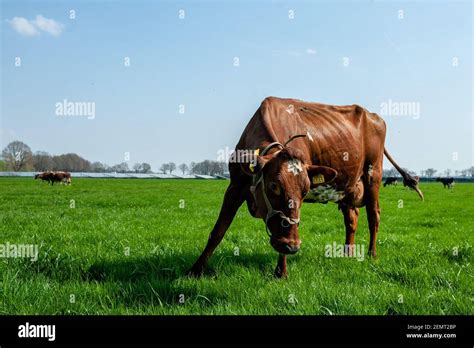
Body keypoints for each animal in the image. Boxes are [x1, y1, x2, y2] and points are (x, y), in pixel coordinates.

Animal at [189, 96, 422, 278]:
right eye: (273, 186)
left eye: (304, 192)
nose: (292, 245)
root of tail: (372, 115)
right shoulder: (235, 185)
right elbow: (218, 231)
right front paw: (196, 270)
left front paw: (281, 272)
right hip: (348, 186)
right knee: (352, 219)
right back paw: (347, 253)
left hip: (373, 174)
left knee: (374, 216)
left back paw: (372, 255)